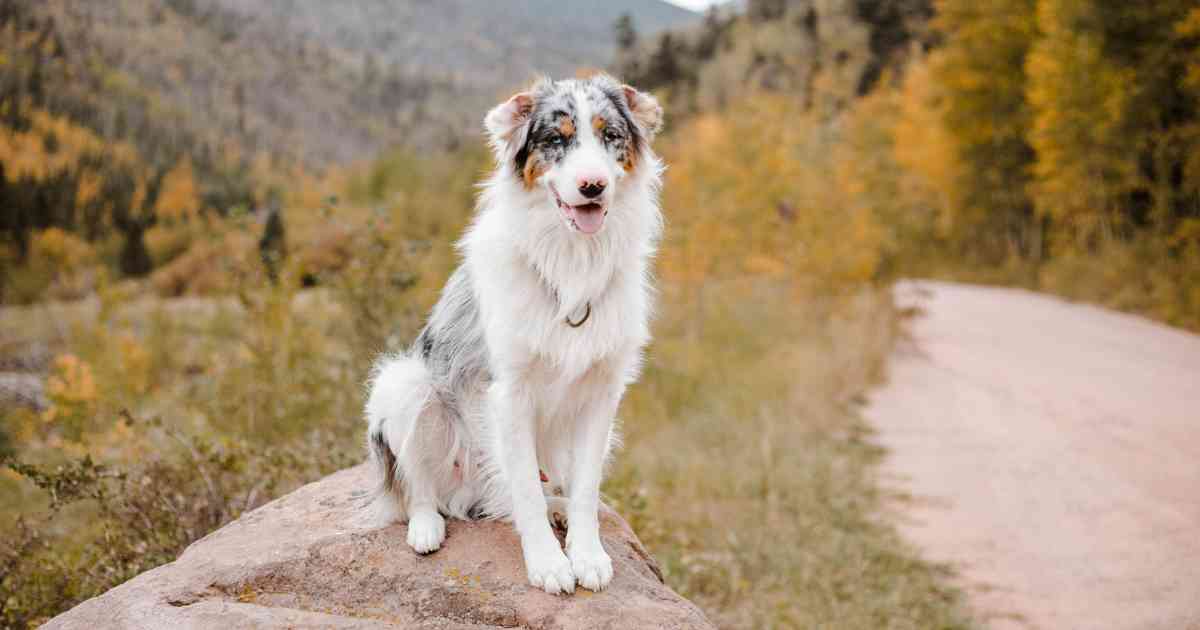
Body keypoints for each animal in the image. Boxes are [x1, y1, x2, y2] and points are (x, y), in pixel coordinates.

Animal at [364, 75, 667, 595]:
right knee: (418, 487)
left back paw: (555, 508)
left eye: (610, 135)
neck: (570, 263)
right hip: (406, 384)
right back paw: (427, 527)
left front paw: (586, 554)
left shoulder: (602, 393)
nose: (593, 186)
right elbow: (524, 486)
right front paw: (547, 563)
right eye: (556, 140)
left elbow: (586, 487)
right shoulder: (509, 392)